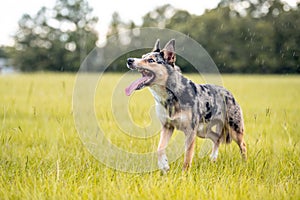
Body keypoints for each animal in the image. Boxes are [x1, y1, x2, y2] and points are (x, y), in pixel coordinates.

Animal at [125, 39, 247, 173]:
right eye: (142, 57)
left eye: (151, 60)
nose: (129, 60)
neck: (171, 96)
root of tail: (229, 94)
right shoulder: (167, 127)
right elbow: (160, 148)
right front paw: (164, 166)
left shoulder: (190, 132)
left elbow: (187, 156)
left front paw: (184, 174)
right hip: (202, 131)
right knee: (217, 138)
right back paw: (213, 159)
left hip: (234, 129)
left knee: (243, 145)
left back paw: (244, 164)